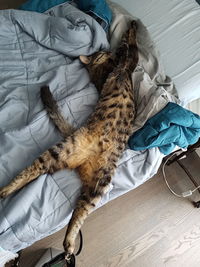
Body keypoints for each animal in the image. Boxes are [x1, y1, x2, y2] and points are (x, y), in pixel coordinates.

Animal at [0, 21, 138, 260]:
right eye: (98, 52)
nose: (103, 49)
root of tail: (83, 162)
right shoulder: (125, 63)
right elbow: (131, 48)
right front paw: (133, 27)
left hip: (99, 184)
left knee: (79, 210)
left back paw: (69, 244)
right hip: (63, 151)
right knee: (33, 169)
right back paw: (7, 189)